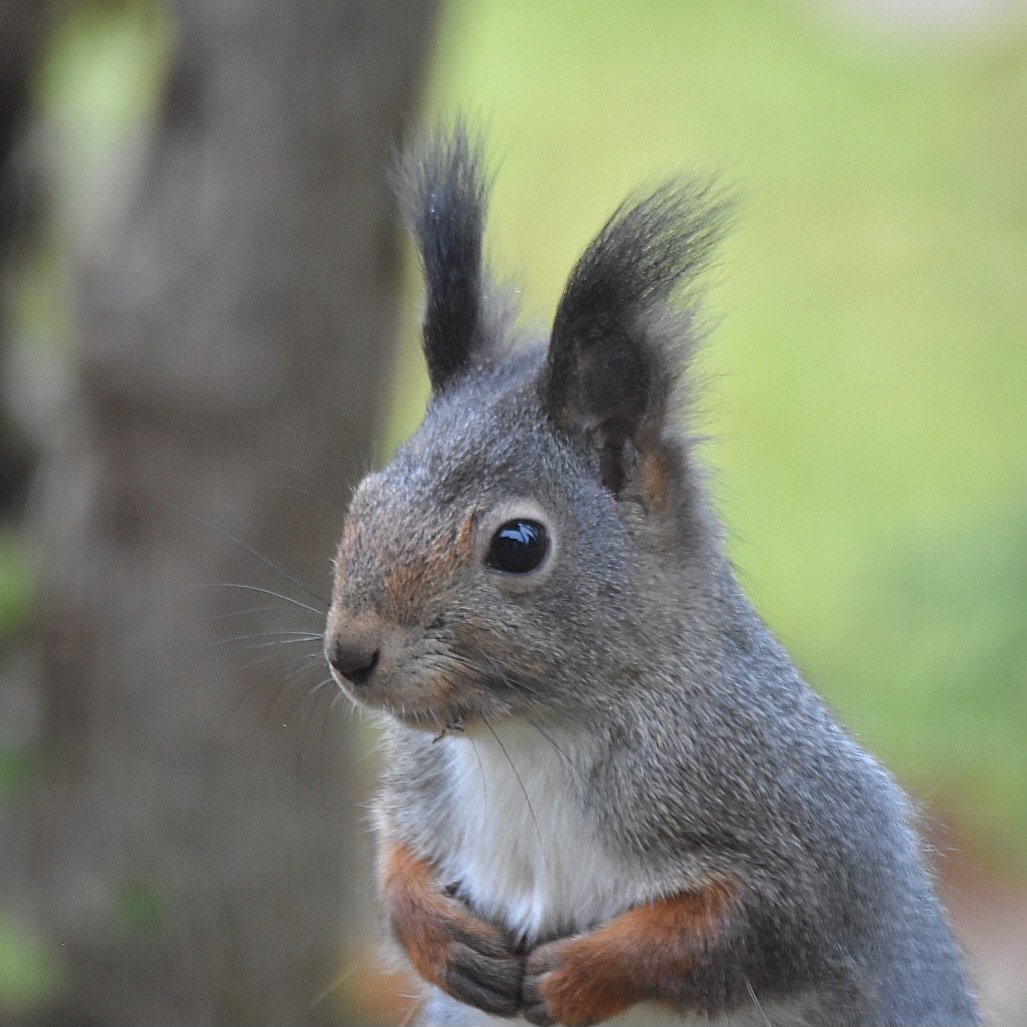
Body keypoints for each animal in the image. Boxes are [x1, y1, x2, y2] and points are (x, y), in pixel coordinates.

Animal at [323, 125, 981, 1027]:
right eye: (363, 497)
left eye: (519, 543)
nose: (348, 653)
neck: (528, 738)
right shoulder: (425, 785)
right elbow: (393, 853)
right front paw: (436, 933)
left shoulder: (813, 835)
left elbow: (732, 929)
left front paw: (578, 973)